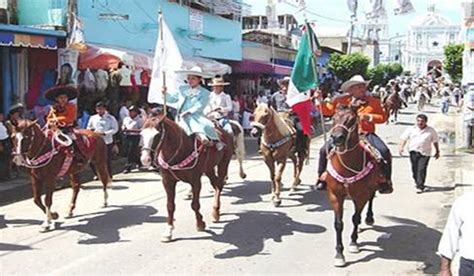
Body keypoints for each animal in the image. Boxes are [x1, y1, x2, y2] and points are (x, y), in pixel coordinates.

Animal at [140, 112, 234, 242]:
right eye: (141, 134)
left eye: (157, 135)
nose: (145, 159)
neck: (179, 152)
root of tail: (223, 131)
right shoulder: (167, 181)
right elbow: (170, 206)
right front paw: (168, 231)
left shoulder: (195, 181)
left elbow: (195, 204)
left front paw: (200, 223)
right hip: (209, 169)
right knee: (215, 184)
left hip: (223, 163)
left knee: (219, 185)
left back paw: (215, 211)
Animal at [324, 104, 390, 266]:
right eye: (333, 118)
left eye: (352, 119)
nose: (337, 138)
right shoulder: (335, 196)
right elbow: (338, 224)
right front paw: (339, 254)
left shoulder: (361, 195)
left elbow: (354, 217)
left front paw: (353, 243)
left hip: (370, 190)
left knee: (370, 200)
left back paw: (368, 218)